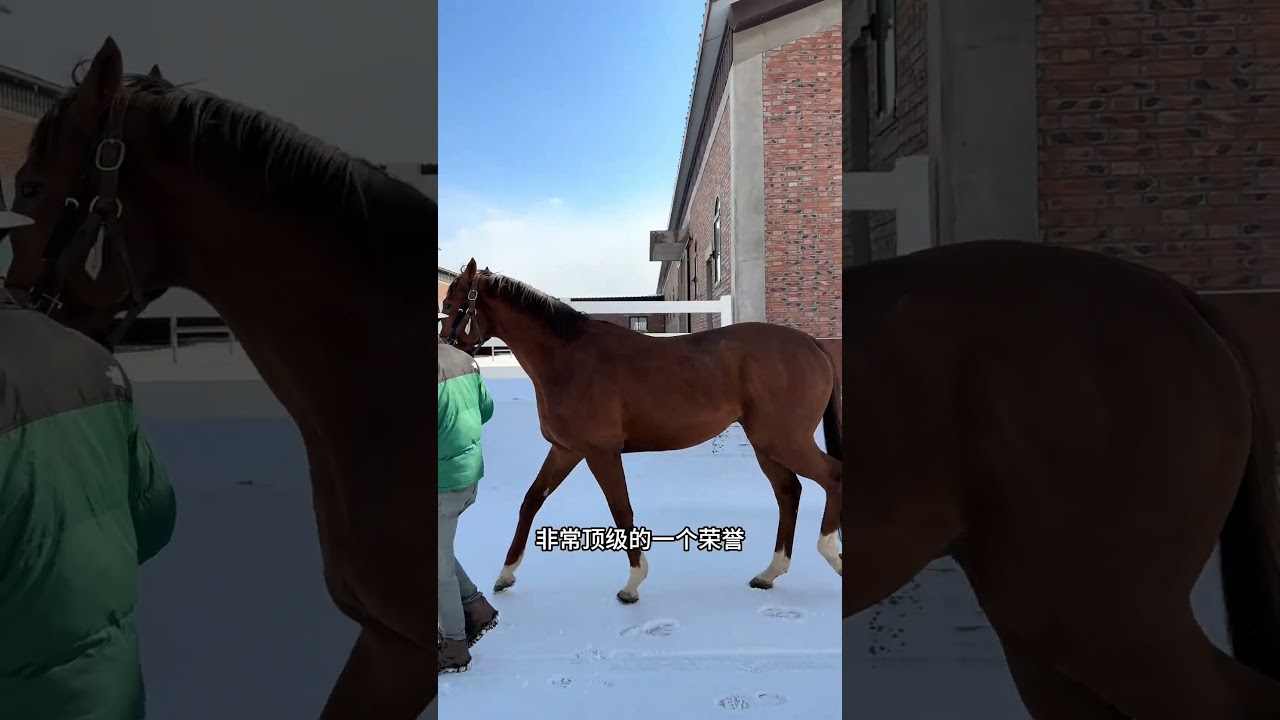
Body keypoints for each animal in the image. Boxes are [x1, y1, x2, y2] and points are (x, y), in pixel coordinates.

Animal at [437, 260, 843, 605]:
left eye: (450, 304)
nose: (445, 350)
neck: (568, 358)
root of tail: (811, 344)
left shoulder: (600, 452)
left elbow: (621, 510)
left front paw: (632, 583)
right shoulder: (566, 450)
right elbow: (532, 500)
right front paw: (506, 574)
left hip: (784, 440)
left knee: (832, 477)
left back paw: (831, 554)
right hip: (765, 444)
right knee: (789, 492)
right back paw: (770, 572)